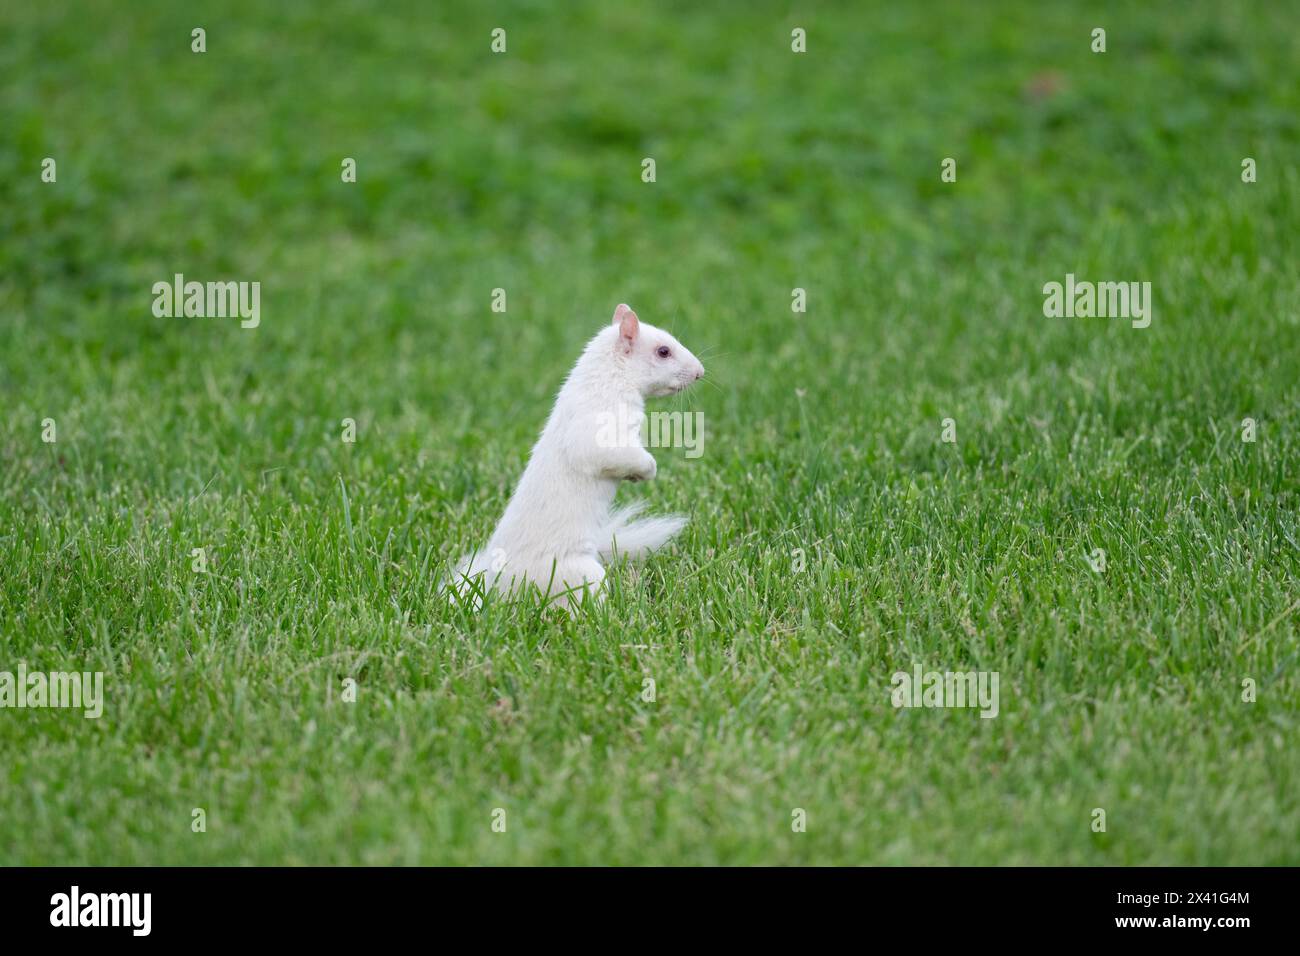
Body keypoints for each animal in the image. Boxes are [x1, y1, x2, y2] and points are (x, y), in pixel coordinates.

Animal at [447, 304, 705, 610]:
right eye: (663, 351)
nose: (700, 372)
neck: (610, 378)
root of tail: (498, 584)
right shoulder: (598, 431)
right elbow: (609, 454)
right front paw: (646, 470)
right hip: (575, 573)